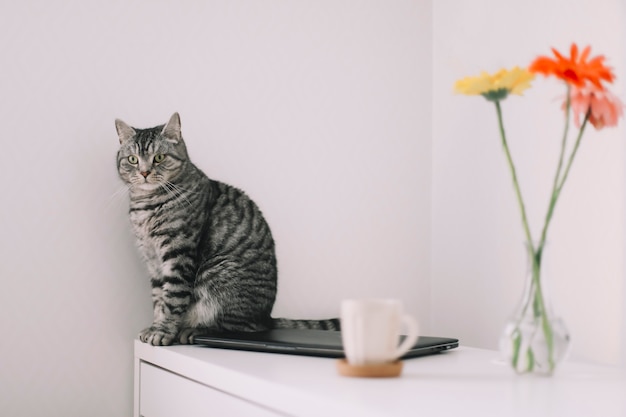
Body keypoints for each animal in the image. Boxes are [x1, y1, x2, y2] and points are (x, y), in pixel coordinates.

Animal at [116, 113, 342, 344]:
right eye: (133, 159)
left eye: (159, 157)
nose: (144, 172)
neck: (146, 204)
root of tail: (267, 316)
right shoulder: (152, 260)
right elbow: (158, 298)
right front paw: (154, 326)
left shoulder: (178, 254)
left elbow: (172, 298)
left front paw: (162, 331)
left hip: (218, 273)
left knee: (240, 327)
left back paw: (196, 330)